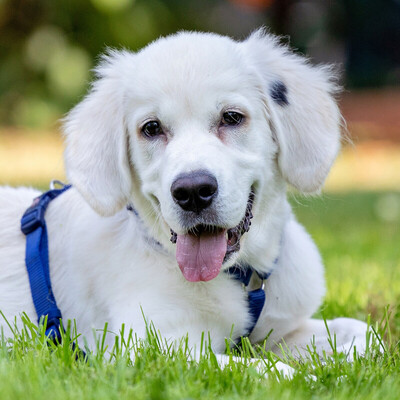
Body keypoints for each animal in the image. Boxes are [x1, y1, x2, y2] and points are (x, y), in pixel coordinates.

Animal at [0, 28, 368, 376]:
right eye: (151, 128)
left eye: (231, 117)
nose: (192, 192)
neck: (239, 276)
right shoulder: (147, 349)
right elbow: (267, 369)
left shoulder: (281, 332)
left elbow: (359, 331)